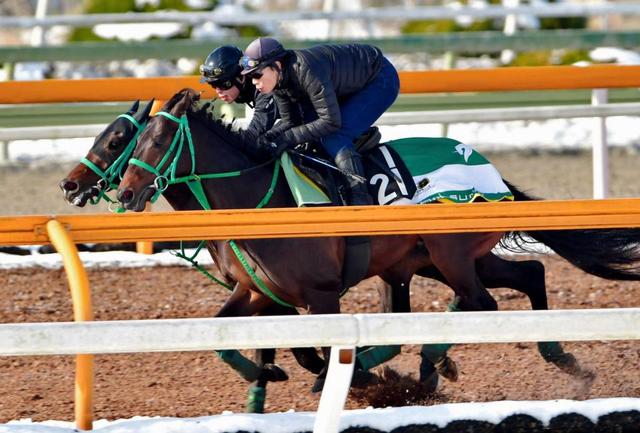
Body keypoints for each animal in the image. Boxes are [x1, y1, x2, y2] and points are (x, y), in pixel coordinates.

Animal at [116, 88, 640, 388]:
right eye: (130, 142)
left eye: (157, 142)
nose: (125, 192)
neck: (260, 202)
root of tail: (489, 169)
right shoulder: (257, 291)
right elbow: (224, 336)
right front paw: (268, 370)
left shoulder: (321, 293)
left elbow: (327, 349)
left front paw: (349, 376)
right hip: (441, 259)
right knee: (527, 274)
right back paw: (561, 358)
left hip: (450, 255)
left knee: (482, 302)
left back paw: (435, 363)